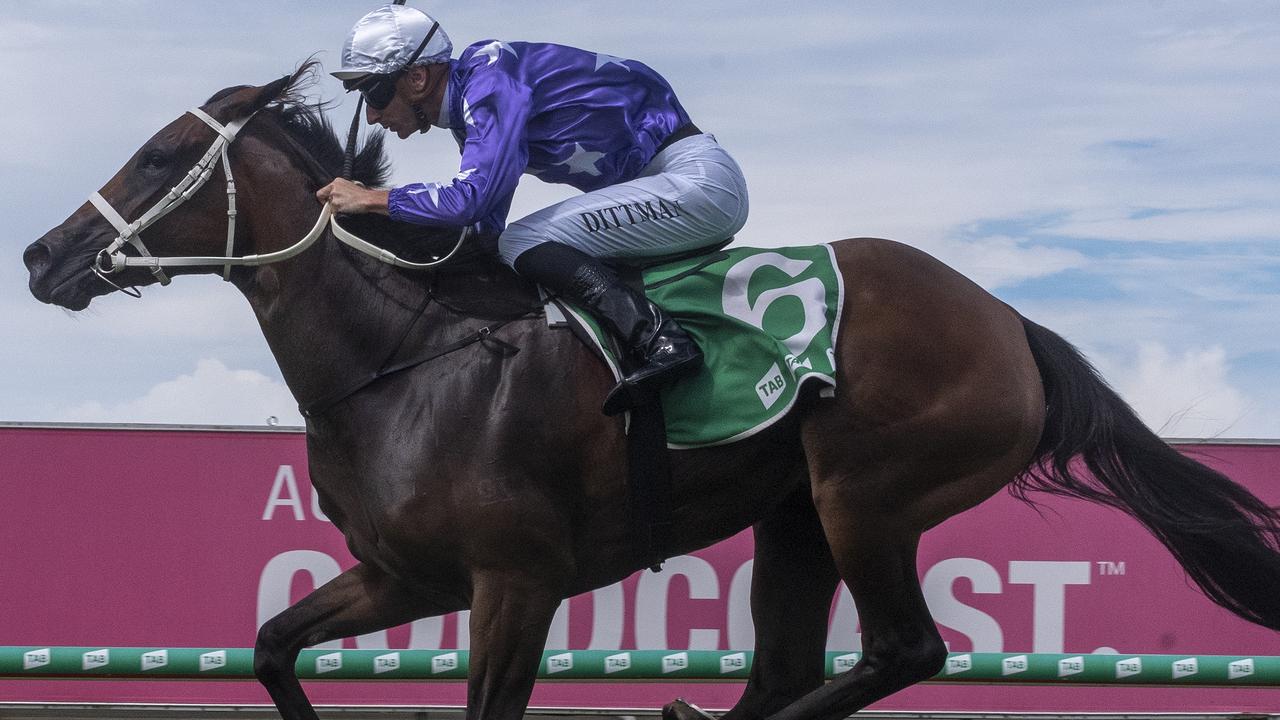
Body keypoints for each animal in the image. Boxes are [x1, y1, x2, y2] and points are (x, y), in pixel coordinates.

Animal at [20, 64, 1280, 712]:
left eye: (155, 157)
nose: (40, 256)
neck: (409, 361)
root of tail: (1009, 323)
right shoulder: (402, 575)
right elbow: (275, 646)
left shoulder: (514, 583)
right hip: (794, 518)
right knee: (789, 667)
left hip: (866, 494)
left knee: (903, 653)